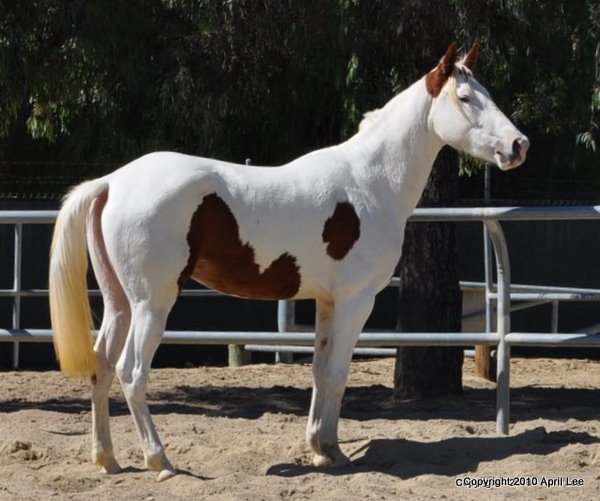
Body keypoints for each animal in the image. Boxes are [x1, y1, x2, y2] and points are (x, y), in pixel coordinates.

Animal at [50, 44, 528, 480]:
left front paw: (320, 447)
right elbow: (338, 372)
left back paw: (107, 459)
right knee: (132, 372)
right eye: (465, 97)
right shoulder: (357, 301)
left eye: (486, 92)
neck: (370, 180)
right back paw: (160, 461)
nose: (518, 145)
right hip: (152, 304)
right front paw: (332, 452)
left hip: (119, 303)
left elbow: (320, 370)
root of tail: (112, 182)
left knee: (101, 367)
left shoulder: (328, 302)